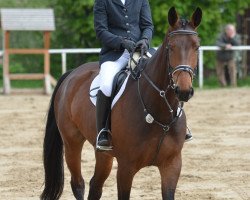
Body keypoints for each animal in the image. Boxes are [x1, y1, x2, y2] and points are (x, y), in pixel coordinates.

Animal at [40, 6, 202, 200]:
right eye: (171, 47)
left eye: (197, 47)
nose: (183, 91)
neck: (159, 112)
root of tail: (72, 73)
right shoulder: (126, 167)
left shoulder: (172, 165)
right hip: (72, 142)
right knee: (78, 183)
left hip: (103, 153)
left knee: (96, 185)